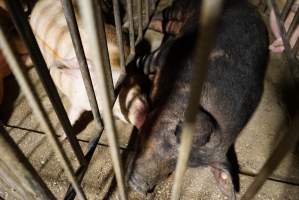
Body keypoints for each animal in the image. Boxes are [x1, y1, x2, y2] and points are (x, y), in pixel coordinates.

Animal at [129, 0, 270, 198]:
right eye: (174, 137)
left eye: (184, 165)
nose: (140, 188)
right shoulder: (169, 53)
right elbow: (146, 62)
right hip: (182, 8)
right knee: (165, 15)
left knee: (169, 24)